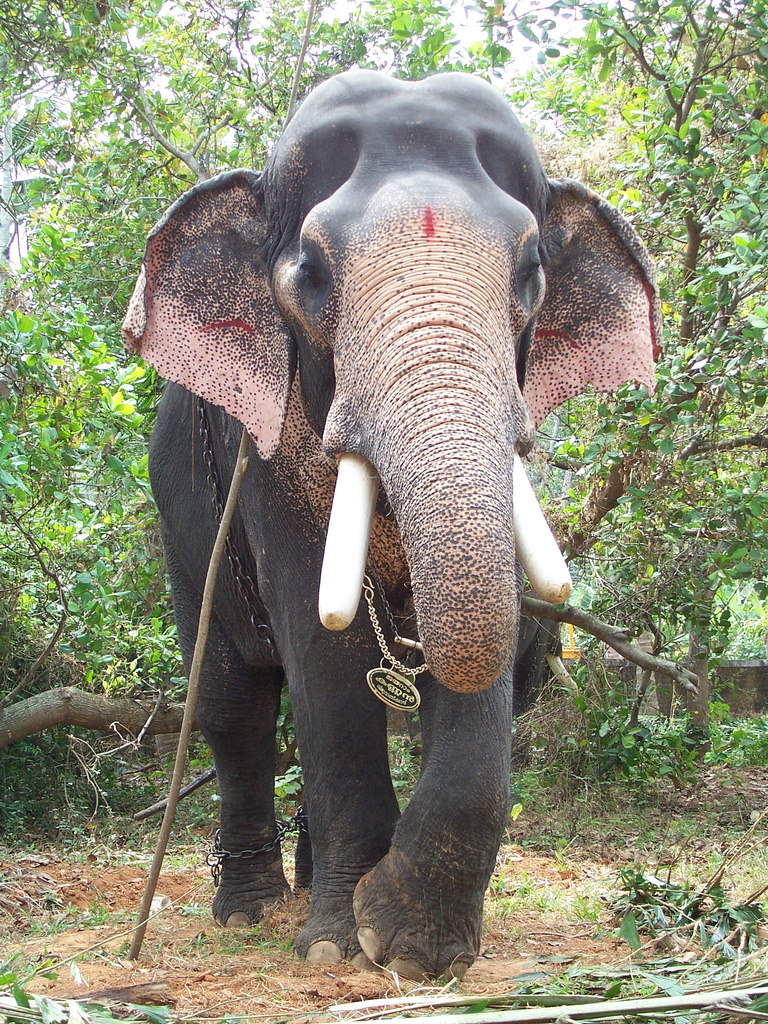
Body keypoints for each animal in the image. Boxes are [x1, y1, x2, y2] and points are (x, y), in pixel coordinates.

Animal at [122, 69, 659, 980]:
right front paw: (338, 947)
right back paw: (253, 910)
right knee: (235, 703)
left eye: (531, 273)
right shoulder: (268, 460)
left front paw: (414, 949)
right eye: (309, 274)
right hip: (181, 523)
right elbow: (322, 650)